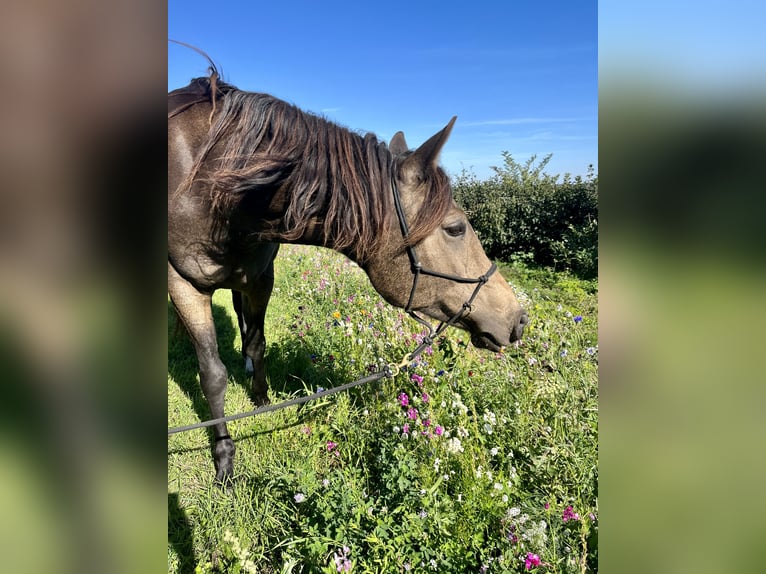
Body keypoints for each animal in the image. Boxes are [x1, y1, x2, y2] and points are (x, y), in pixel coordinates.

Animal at [168, 65, 528, 483]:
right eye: (455, 228)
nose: (519, 319)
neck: (216, 186)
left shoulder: (260, 277)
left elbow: (257, 343)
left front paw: (260, 398)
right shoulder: (184, 285)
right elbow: (212, 375)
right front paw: (224, 457)